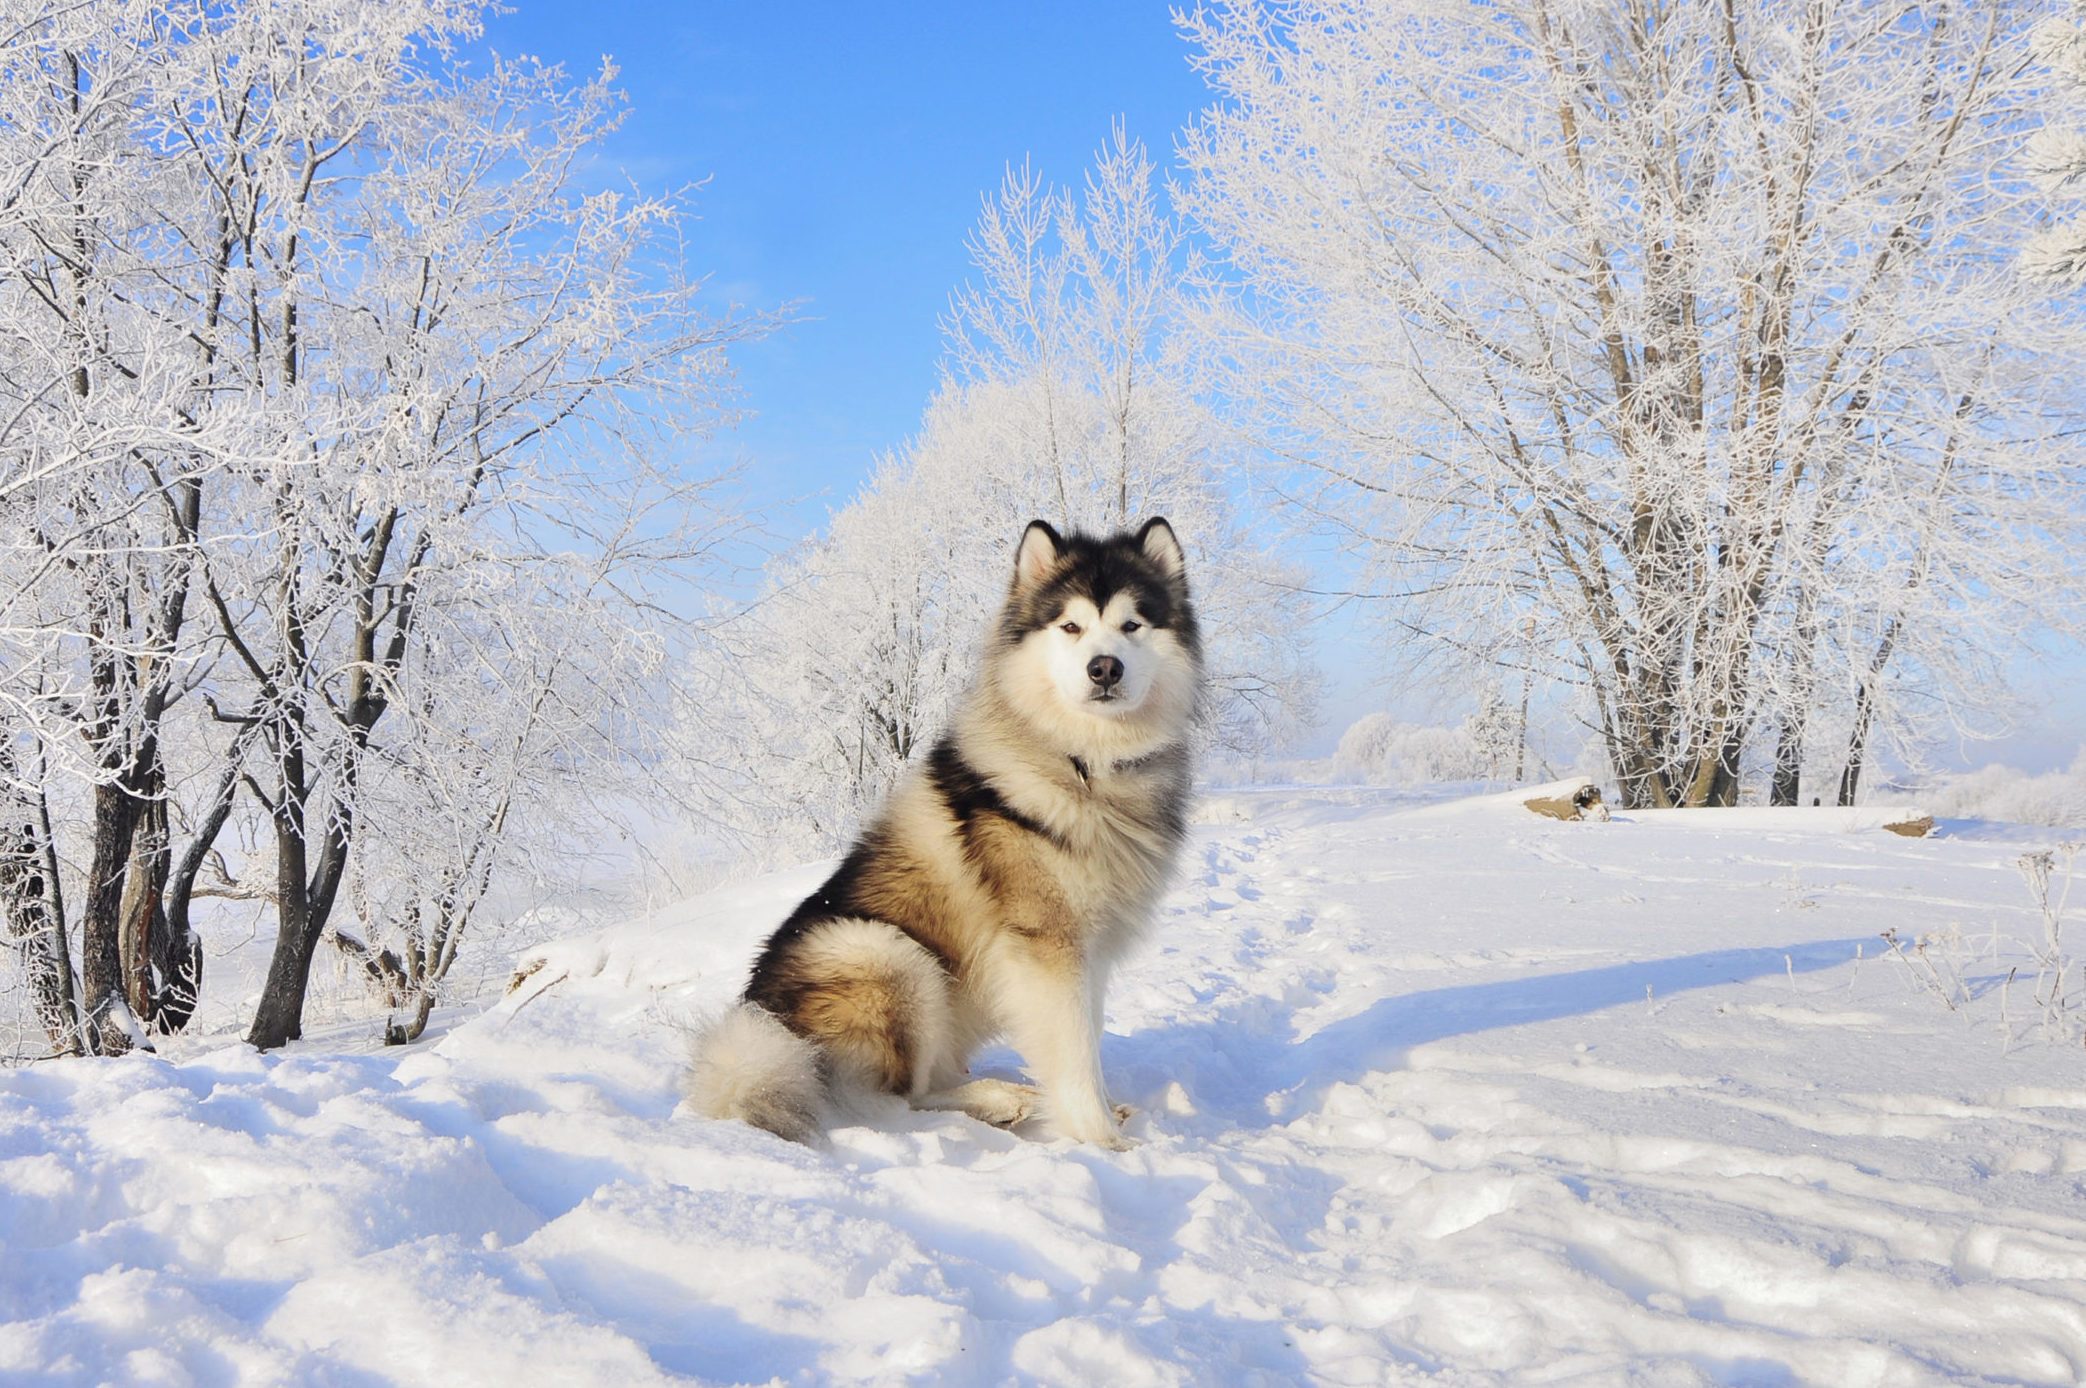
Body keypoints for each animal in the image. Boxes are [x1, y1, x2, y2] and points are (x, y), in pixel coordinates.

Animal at [688, 517, 1209, 1143]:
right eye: (1071, 626)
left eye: (1133, 625)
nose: (1104, 667)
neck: (1085, 763)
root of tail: (760, 1027)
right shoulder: (1049, 946)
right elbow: (1075, 1050)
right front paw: (1100, 1138)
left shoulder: (1092, 950)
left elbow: (1087, 1036)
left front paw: (1104, 1113)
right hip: (887, 953)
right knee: (893, 1103)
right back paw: (994, 1100)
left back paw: (1011, 1095)